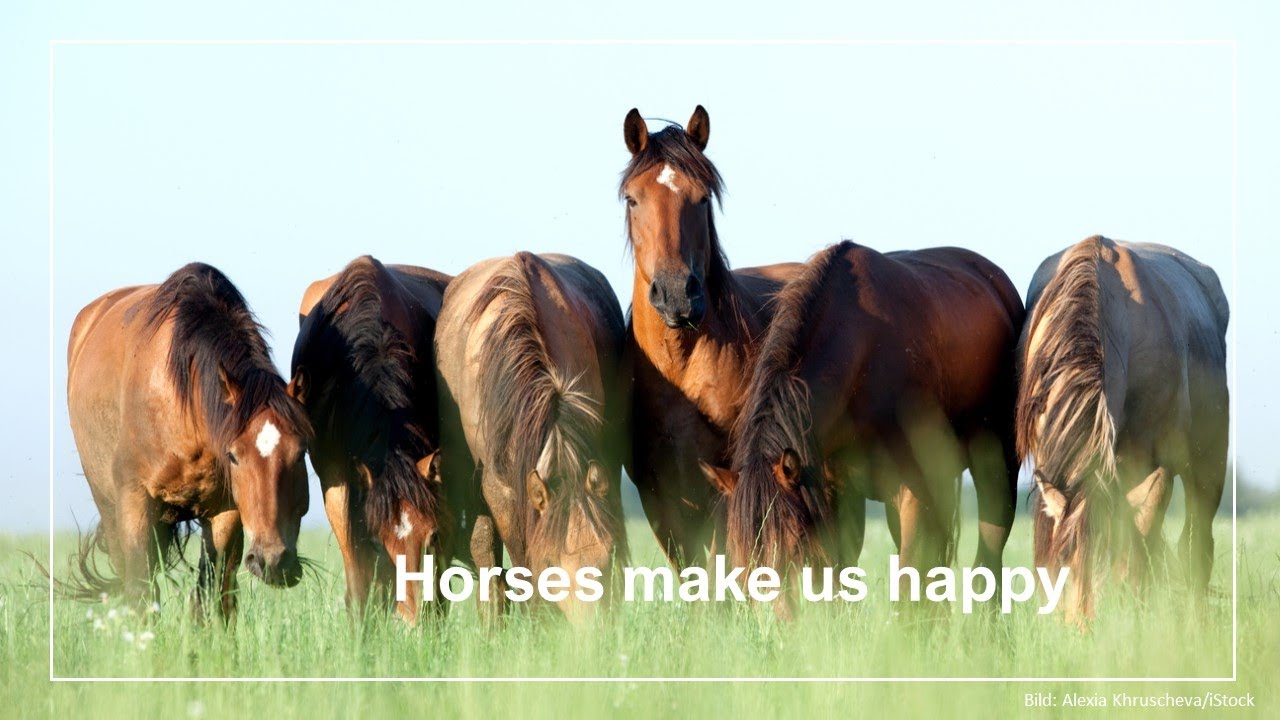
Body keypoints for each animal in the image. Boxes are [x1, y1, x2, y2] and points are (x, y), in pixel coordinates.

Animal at [66, 262, 312, 621]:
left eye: (301, 452)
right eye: (234, 456)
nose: (273, 561)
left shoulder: (225, 511)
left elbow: (213, 594)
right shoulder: (135, 500)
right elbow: (141, 590)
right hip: (110, 508)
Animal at [620, 106, 803, 568]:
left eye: (702, 198)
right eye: (632, 198)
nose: (676, 294)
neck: (682, 368)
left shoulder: (725, 485)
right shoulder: (659, 498)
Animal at [703, 241, 1024, 616]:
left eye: (795, 543)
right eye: (742, 557)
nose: (780, 624)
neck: (862, 358)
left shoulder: (913, 492)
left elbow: (908, 581)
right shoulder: (834, 494)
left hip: (996, 470)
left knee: (990, 549)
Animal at [1017, 236, 1229, 623]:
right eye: (1064, 565)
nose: (1084, 629)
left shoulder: (1155, 467)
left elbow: (1141, 548)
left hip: (1208, 464)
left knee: (1196, 548)